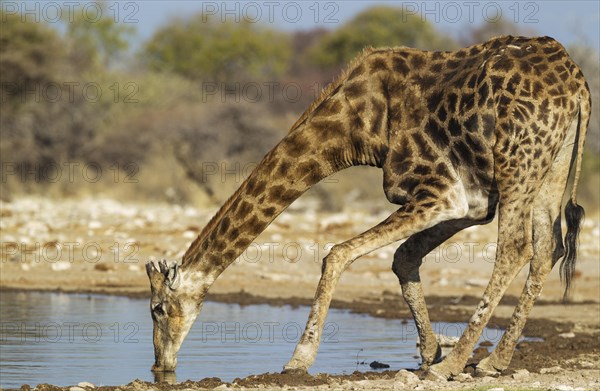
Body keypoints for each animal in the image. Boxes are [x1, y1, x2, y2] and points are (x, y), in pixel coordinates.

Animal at [146, 36, 592, 380]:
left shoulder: (441, 192)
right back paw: (493, 361)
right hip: (549, 166)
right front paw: (429, 350)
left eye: (157, 309)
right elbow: (402, 258)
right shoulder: (472, 202)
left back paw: (456, 366)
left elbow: (337, 254)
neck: (355, 129)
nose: (160, 366)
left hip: (519, 163)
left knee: (515, 248)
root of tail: (579, 87)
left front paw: (298, 361)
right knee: (547, 247)